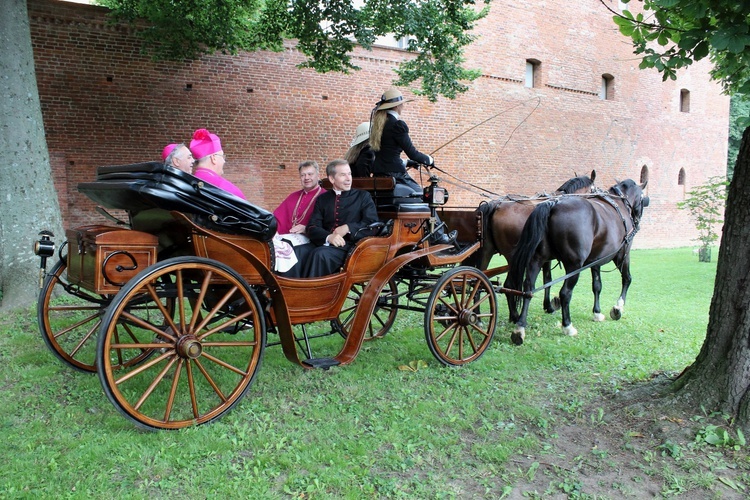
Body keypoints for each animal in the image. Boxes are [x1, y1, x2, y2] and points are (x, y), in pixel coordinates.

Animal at [472, 170, 596, 322]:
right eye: (593, 190)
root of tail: (497, 204)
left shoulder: (545, 257)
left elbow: (547, 278)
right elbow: (547, 279)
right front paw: (548, 306)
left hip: (487, 251)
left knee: (478, 280)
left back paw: (478, 316)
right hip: (512, 257)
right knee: (508, 284)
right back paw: (514, 315)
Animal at [508, 178, 648, 346]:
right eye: (643, 198)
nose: (638, 219)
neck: (619, 203)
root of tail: (553, 204)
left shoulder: (595, 261)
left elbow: (597, 286)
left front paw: (597, 313)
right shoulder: (623, 254)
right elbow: (627, 279)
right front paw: (618, 308)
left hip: (537, 259)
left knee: (528, 289)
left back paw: (520, 327)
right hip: (574, 265)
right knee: (565, 293)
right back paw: (567, 326)